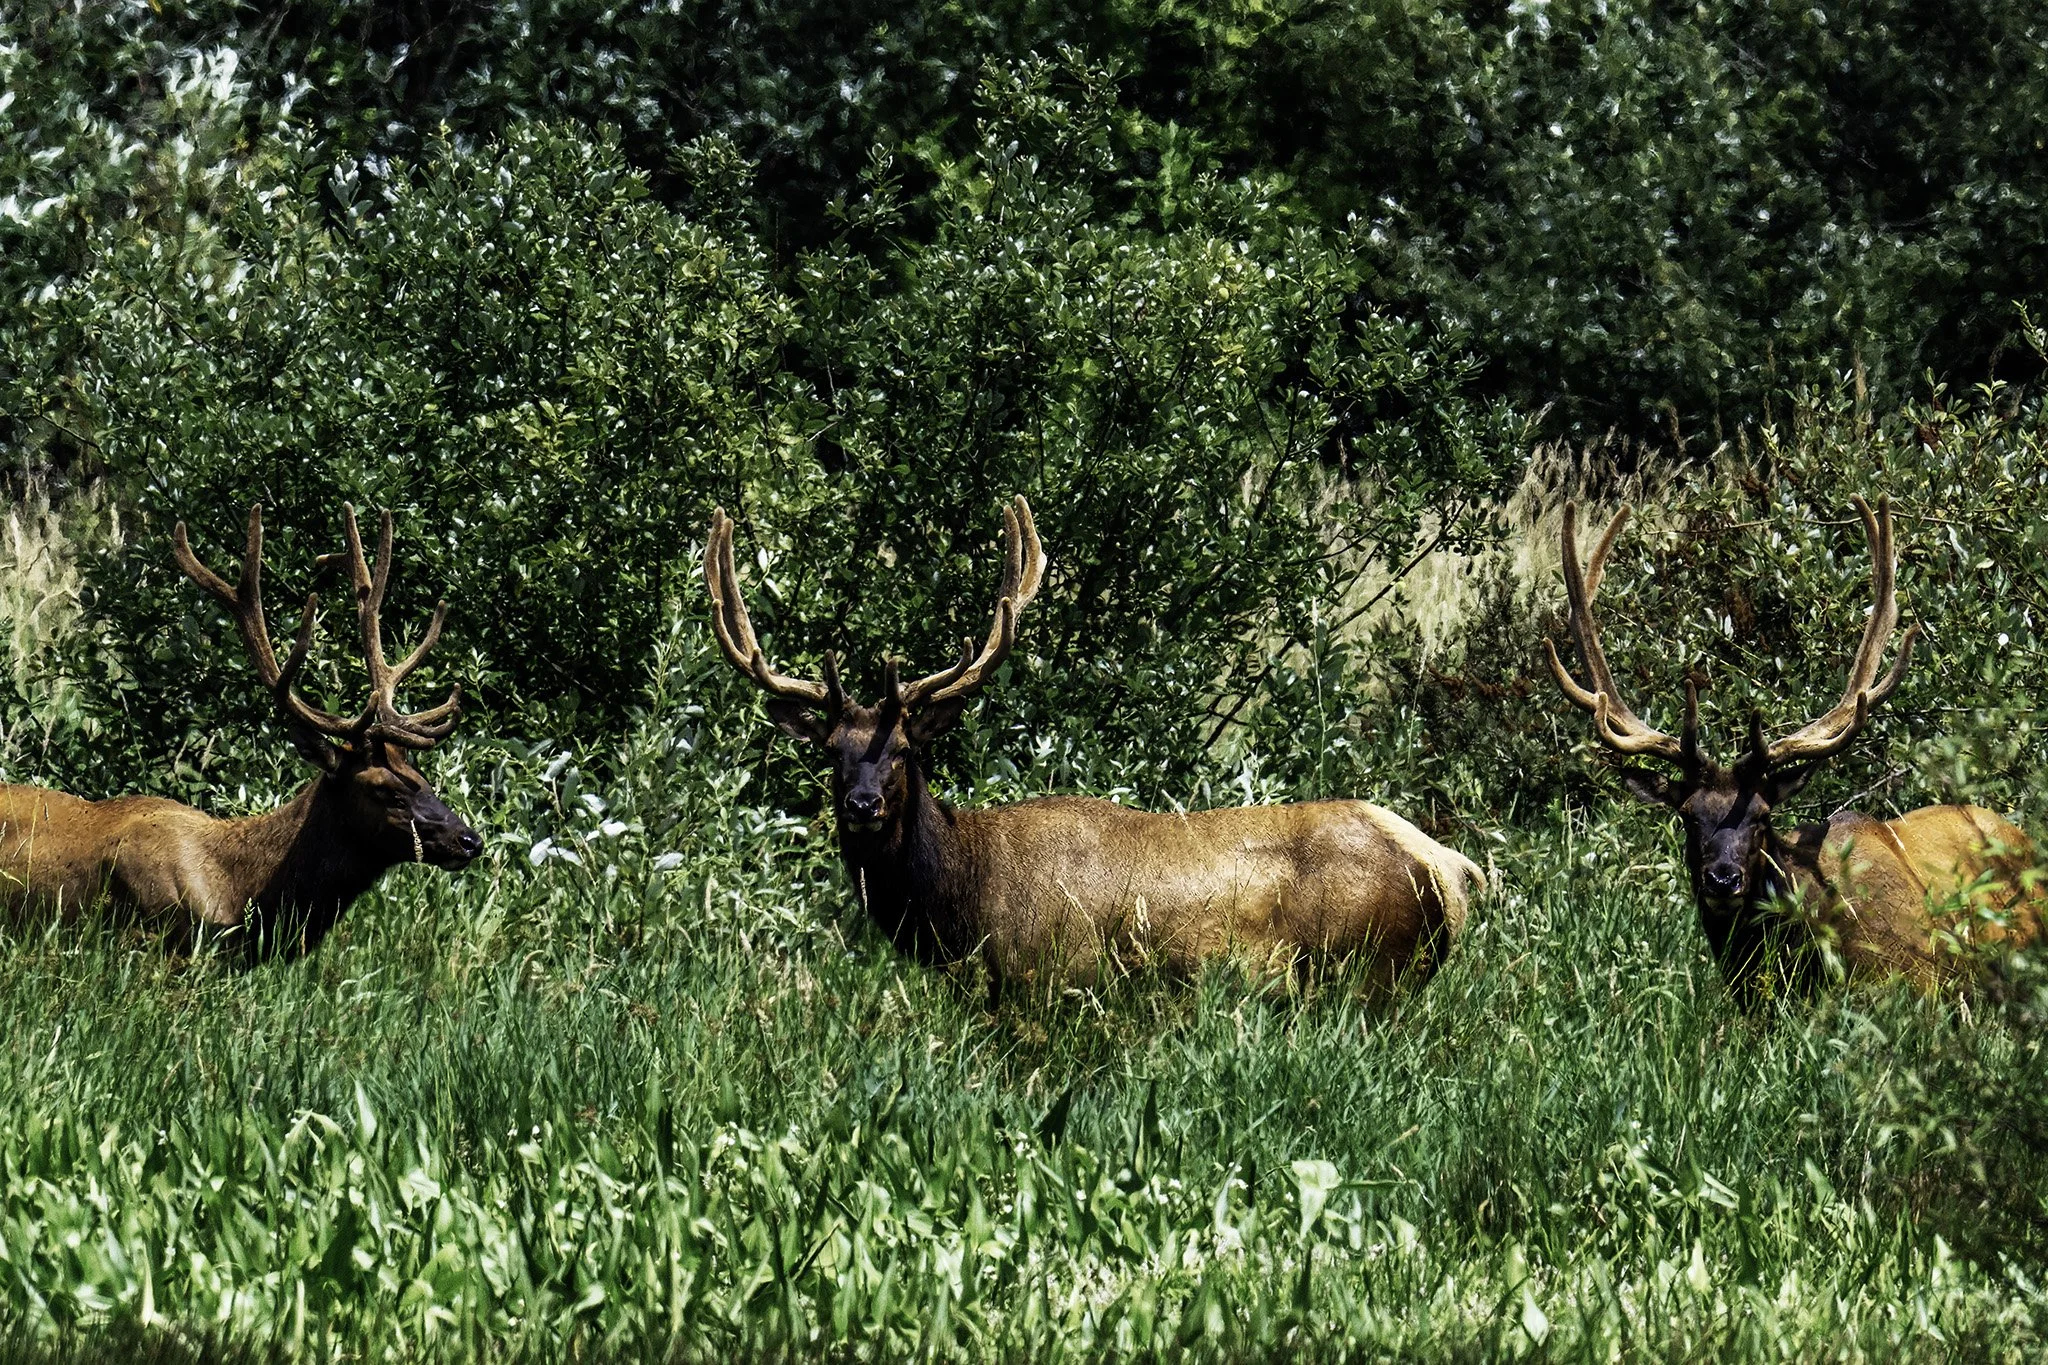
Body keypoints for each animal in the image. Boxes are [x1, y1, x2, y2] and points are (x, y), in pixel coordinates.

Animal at [705, 495, 1485, 994]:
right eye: (832, 751)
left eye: (902, 750)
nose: (862, 805)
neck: (959, 903)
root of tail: (1450, 867)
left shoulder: (1053, 982)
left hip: (1368, 976)